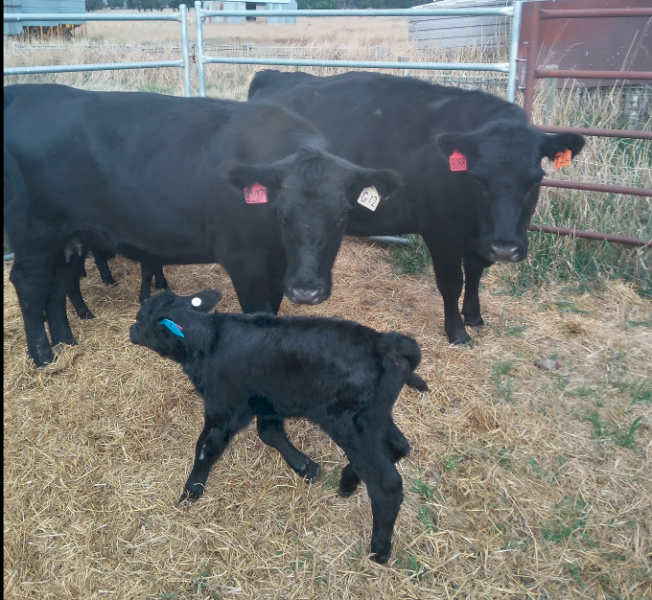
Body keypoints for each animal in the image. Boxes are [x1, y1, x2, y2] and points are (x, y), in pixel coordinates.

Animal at [4, 84, 401, 367]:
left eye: (342, 216)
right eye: (281, 214)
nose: (306, 290)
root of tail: (26, 91)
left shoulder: (275, 270)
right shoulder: (244, 262)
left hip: (69, 239)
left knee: (57, 287)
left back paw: (65, 341)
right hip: (35, 236)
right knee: (29, 284)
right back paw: (44, 356)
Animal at [129, 288, 428, 564]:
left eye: (142, 319)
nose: (131, 329)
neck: (207, 342)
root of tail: (386, 342)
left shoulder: (223, 407)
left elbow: (206, 446)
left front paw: (190, 491)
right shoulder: (267, 400)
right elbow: (269, 433)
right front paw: (304, 466)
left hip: (350, 425)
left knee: (387, 484)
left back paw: (379, 549)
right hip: (374, 418)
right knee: (399, 445)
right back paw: (348, 480)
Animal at [248, 70, 586, 346]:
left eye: (536, 180)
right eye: (478, 179)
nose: (505, 248)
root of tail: (276, 76)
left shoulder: (477, 238)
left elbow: (475, 272)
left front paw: (474, 317)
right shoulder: (442, 231)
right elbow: (452, 283)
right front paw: (457, 332)